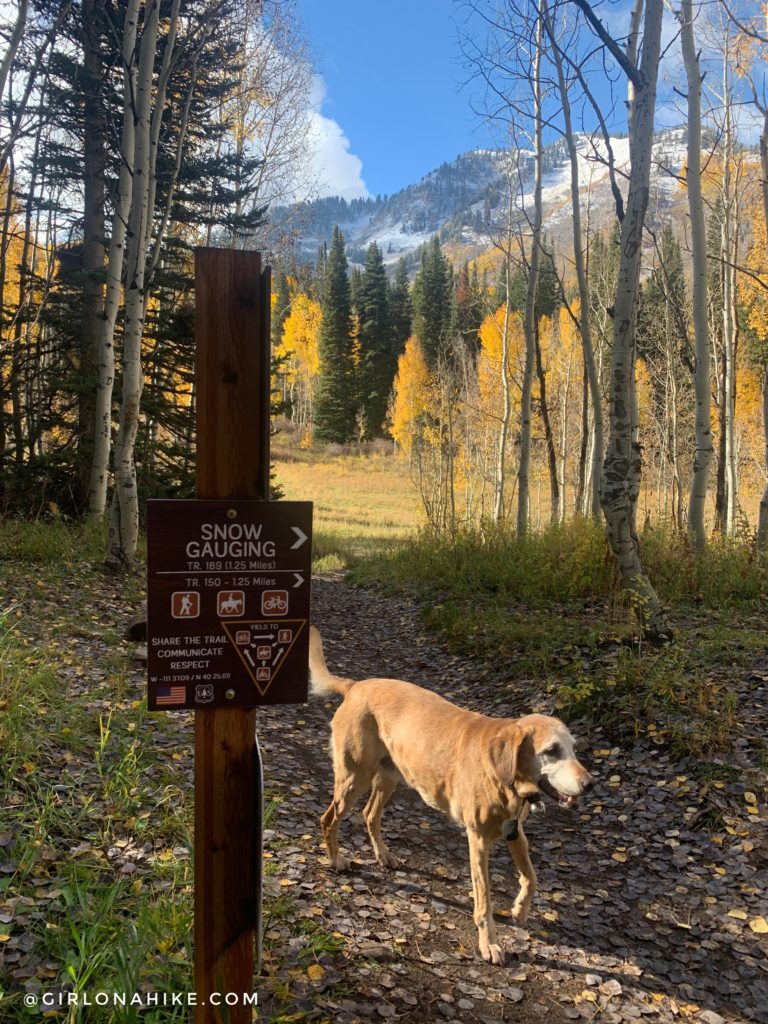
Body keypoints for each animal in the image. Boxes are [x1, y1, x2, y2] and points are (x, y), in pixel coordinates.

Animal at [311, 622, 593, 966]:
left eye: (574, 749)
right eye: (552, 751)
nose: (589, 784)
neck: (506, 780)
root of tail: (355, 686)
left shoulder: (515, 833)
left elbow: (531, 877)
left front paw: (519, 910)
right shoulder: (479, 841)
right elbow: (484, 901)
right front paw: (489, 943)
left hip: (389, 778)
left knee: (369, 815)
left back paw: (383, 855)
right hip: (354, 779)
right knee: (328, 819)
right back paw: (336, 859)